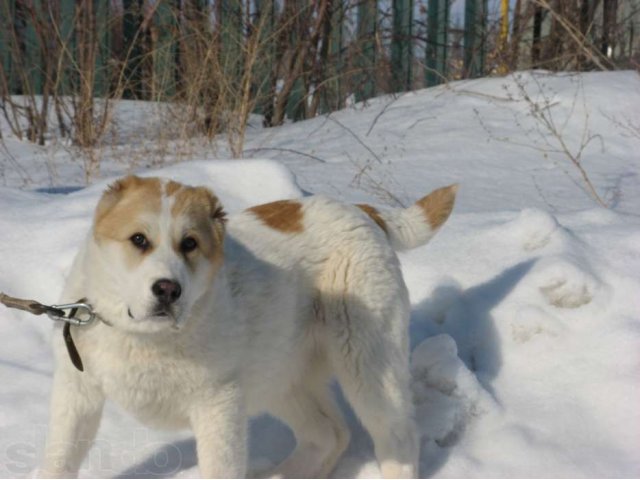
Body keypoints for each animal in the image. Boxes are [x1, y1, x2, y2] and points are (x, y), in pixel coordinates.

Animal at [40, 175, 458, 476]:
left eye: (189, 244)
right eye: (138, 239)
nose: (168, 290)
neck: (143, 338)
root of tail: (361, 210)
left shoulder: (217, 405)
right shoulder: (77, 396)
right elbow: (59, 459)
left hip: (368, 365)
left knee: (398, 437)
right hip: (280, 375)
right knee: (328, 435)